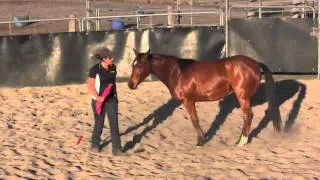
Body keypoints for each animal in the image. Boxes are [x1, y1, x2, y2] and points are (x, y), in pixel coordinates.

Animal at [127, 48, 282, 146]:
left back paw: (241, 142)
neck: (177, 72)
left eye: (139, 66)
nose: (130, 85)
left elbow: (195, 121)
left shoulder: (188, 101)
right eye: (133, 65)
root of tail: (255, 63)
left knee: (248, 116)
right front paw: (204, 138)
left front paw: (200, 141)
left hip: (242, 96)